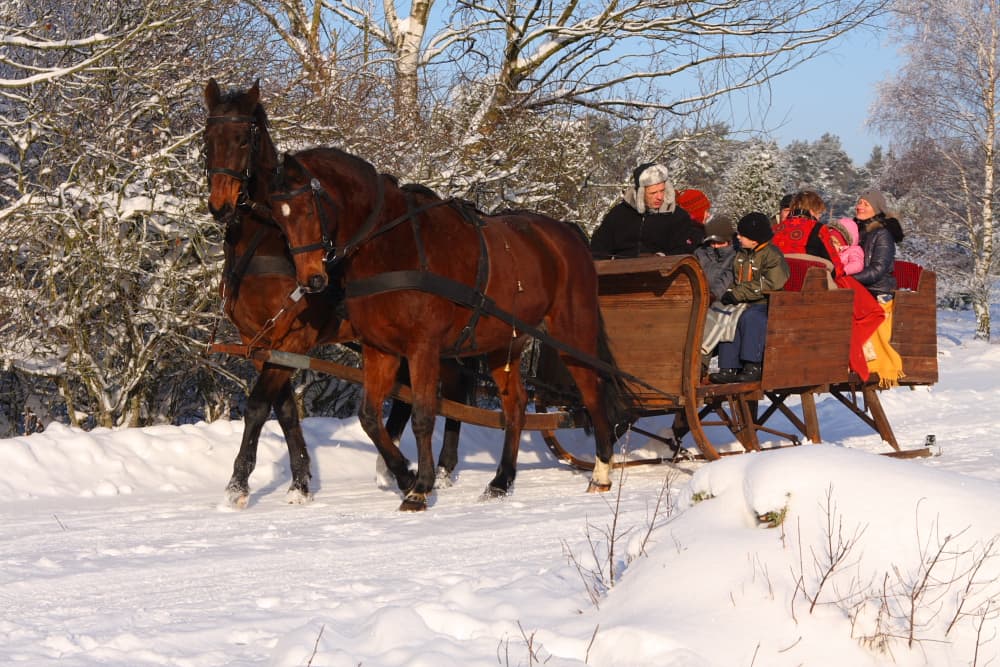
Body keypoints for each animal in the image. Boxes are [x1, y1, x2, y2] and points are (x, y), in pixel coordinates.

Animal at [203, 79, 468, 506]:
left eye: (244, 138)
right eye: (207, 138)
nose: (221, 206)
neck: (268, 242)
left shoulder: (293, 338)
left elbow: (258, 405)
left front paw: (238, 484)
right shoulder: (258, 341)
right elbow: (286, 410)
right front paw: (300, 482)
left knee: (458, 383)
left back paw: (438, 468)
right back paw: (398, 467)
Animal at [270, 147, 628, 512]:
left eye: (309, 208)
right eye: (279, 218)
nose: (311, 280)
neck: (391, 245)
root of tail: (567, 235)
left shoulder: (422, 348)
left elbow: (424, 415)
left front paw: (419, 487)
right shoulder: (380, 349)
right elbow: (369, 416)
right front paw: (405, 472)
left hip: (571, 332)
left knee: (593, 394)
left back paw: (601, 473)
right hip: (505, 343)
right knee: (515, 404)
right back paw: (501, 481)